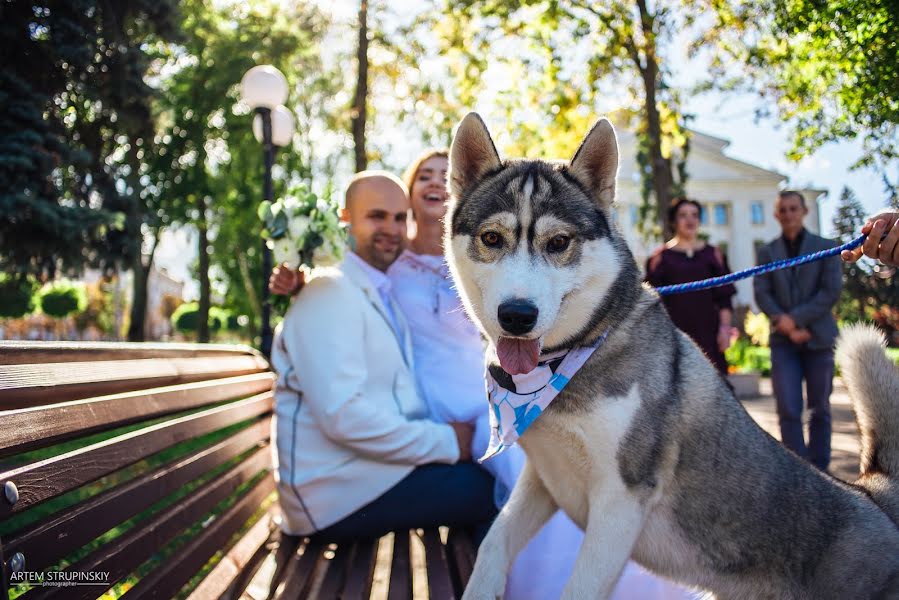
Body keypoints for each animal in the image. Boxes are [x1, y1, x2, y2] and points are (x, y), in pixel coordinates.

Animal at [446, 113, 899, 600]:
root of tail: (873, 496)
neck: (572, 360)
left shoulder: (622, 500)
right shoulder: (544, 479)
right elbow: (494, 540)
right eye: (492, 238)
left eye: (558, 242)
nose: (517, 315)